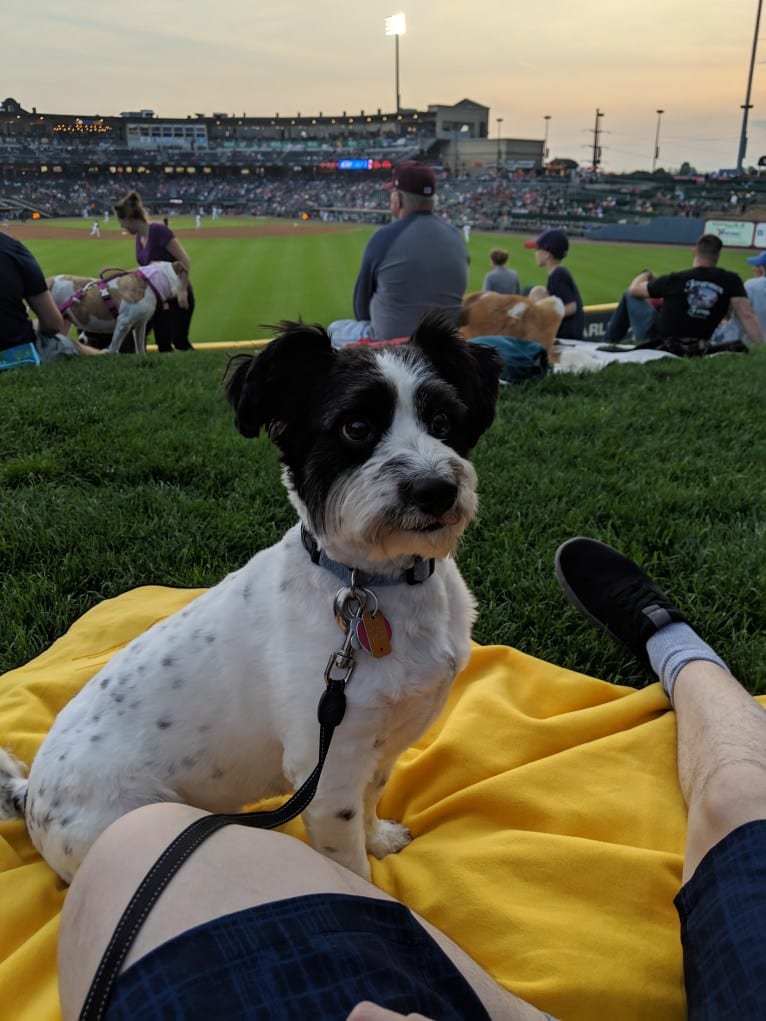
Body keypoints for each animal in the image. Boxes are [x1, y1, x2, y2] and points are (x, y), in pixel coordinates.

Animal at [0, 314, 500, 882]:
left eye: (442, 420)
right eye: (355, 427)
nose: (435, 490)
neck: (374, 585)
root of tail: (31, 795)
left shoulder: (380, 747)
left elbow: (372, 797)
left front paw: (379, 838)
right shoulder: (327, 770)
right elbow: (347, 858)